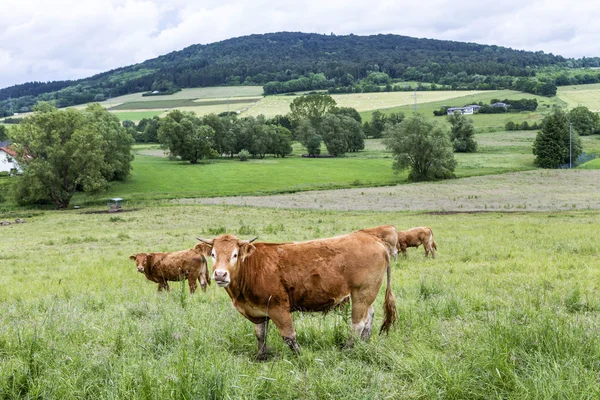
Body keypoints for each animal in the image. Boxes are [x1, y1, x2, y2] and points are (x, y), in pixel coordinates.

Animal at [195, 228, 396, 360]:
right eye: (213, 254)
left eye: (235, 255)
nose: (220, 274)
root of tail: (372, 238)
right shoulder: (258, 310)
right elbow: (260, 335)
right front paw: (261, 356)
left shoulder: (278, 308)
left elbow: (289, 336)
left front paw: (300, 357)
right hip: (366, 296)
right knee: (369, 317)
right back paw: (364, 344)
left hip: (362, 293)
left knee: (357, 324)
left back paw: (348, 349)